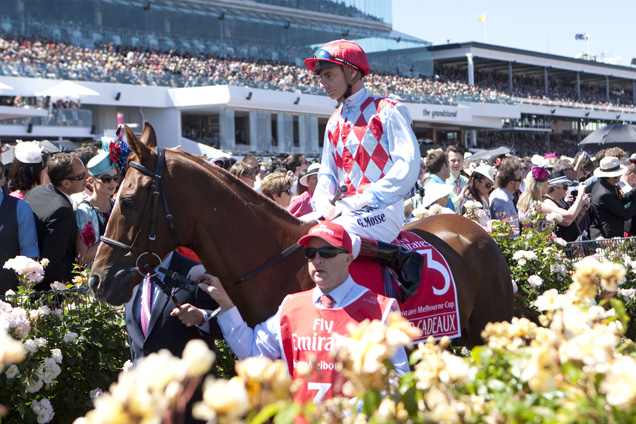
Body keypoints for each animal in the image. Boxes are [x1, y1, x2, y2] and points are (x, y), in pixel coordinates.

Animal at [89, 123, 516, 348]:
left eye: (128, 201)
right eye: (115, 198)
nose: (96, 279)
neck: (275, 263)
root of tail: (476, 232)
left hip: (489, 327)